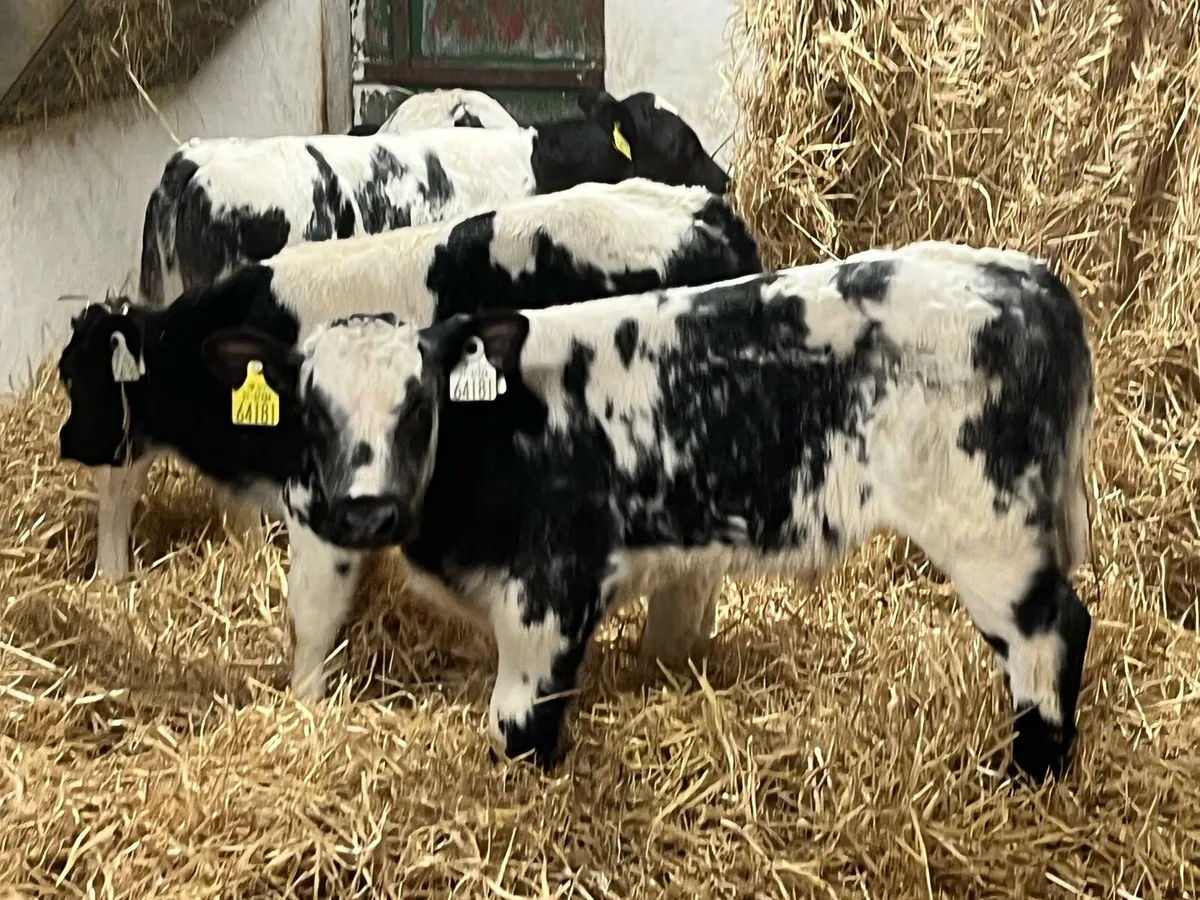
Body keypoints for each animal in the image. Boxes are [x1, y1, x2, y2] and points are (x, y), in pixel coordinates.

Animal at [226, 241, 1095, 784]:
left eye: (417, 407)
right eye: (312, 414)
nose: (366, 513)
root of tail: (1026, 280)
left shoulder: (549, 597)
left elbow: (519, 729)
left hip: (990, 530)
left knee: (1049, 634)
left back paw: (1029, 778)